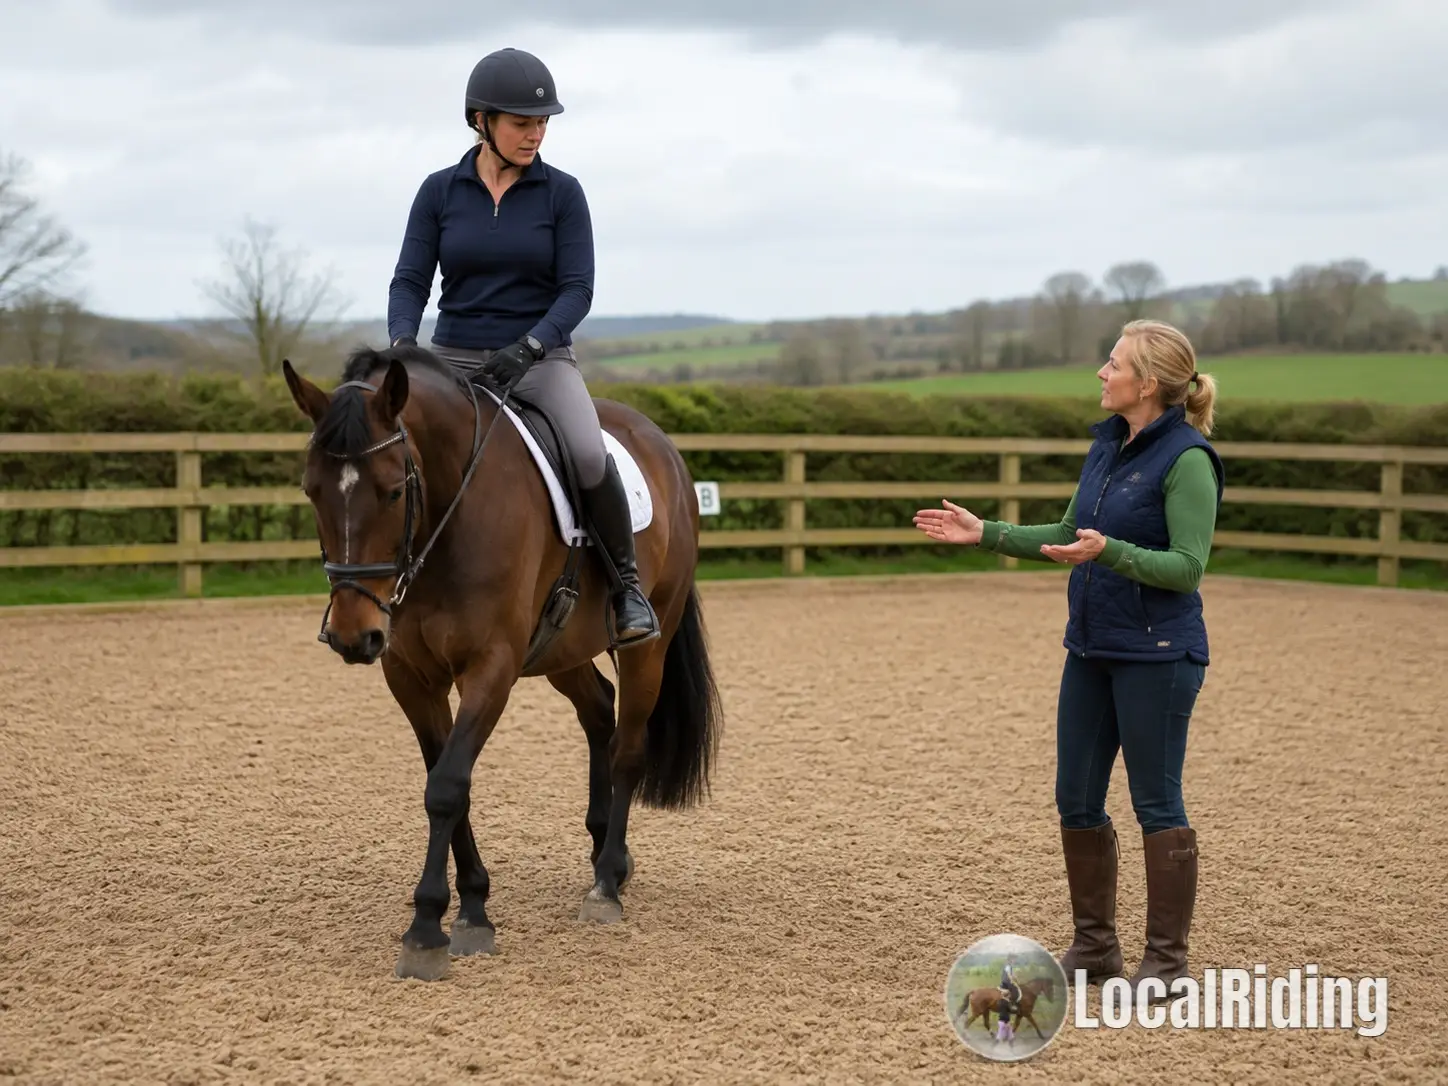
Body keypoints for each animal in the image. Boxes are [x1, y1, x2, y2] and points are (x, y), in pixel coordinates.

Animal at [280, 344, 723, 981]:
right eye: (312, 491)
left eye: (392, 491)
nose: (352, 635)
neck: (447, 517)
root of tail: (662, 444)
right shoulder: (410, 678)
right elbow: (445, 781)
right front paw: (472, 909)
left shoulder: (491, 667)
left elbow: (446, 786)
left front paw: (426, 929)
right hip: (563, 648)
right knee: (599, 713)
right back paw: (602, 852)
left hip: (647, 646)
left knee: (627, 748)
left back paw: (607, 884)